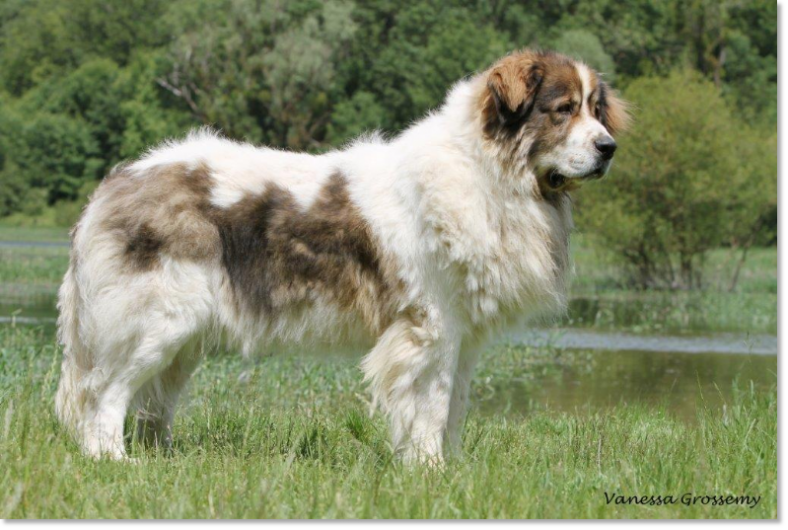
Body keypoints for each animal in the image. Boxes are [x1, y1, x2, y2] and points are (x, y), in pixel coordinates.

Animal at [53, 50, 628, 462]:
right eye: (562, 111)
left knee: (151, 401)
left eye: (595, 110)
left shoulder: (462, 337)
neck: (490, 173)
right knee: (104, 392)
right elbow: (432, 406)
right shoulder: (431, 327)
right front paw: (429, 472)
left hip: (182, 339)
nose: (609, 148)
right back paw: (113, 461)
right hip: (157, 320)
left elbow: (455, 409)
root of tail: (117, 182)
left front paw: (451, 472)